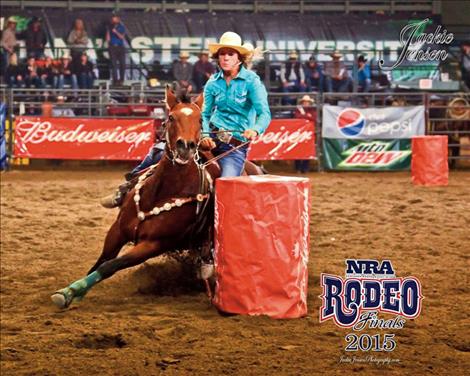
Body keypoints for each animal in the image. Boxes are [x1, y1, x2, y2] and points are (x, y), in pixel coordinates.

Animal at [51, 86, 264, 310]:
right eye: (171, 117)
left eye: (199, 120)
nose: (185, 146)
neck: (161, 193)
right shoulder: (117, 230)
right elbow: (100, 262)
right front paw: (72, 291)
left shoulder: (153, 244)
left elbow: (110, 265)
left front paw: (71, 292)